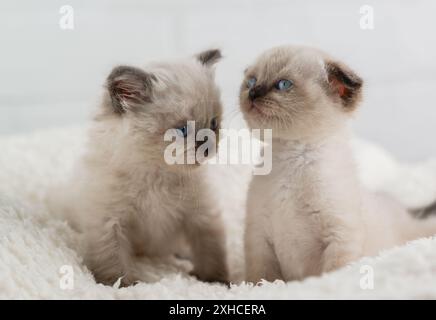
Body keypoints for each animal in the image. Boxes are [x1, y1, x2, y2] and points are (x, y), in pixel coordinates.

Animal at [71, 48, 228, 286]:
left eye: (213, 124)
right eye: (182, 130)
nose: (208, 146)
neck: (157, 176)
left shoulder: (200, 216)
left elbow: (210, 252)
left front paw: (216, 282)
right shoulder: (109, 221)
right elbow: (113, 261)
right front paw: (121, 286)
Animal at [240, 45, 436, 282]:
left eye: (283, 84)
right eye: (251, 81)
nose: (253, 93)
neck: (291, 156)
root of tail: (405, 211)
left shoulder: (339, 235)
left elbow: (334, 273)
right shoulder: (259, 238)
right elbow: (262, 279)